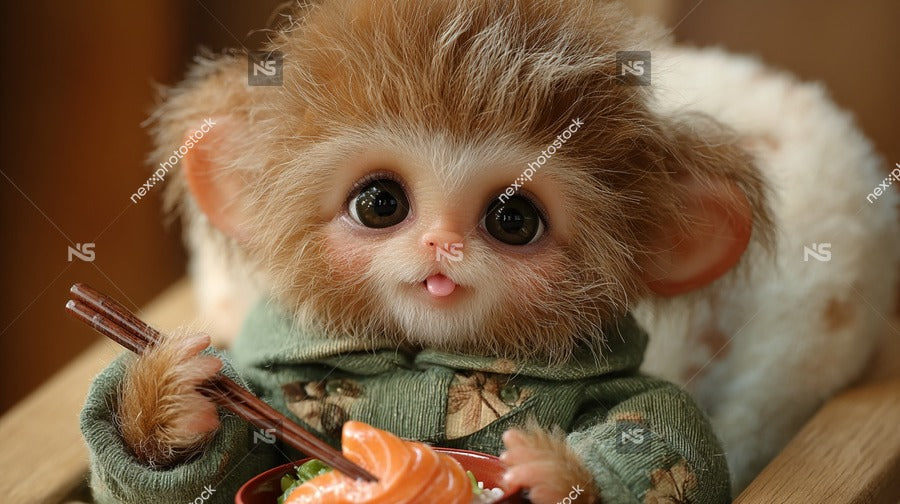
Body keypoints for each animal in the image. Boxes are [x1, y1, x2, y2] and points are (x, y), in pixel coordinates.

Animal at [79, 0, 899, 502]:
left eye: (514, 219)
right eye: (380, 203)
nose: (441, 243)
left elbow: (673, 438)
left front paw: (556, 470)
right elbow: (217, 469)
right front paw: (169, 398)